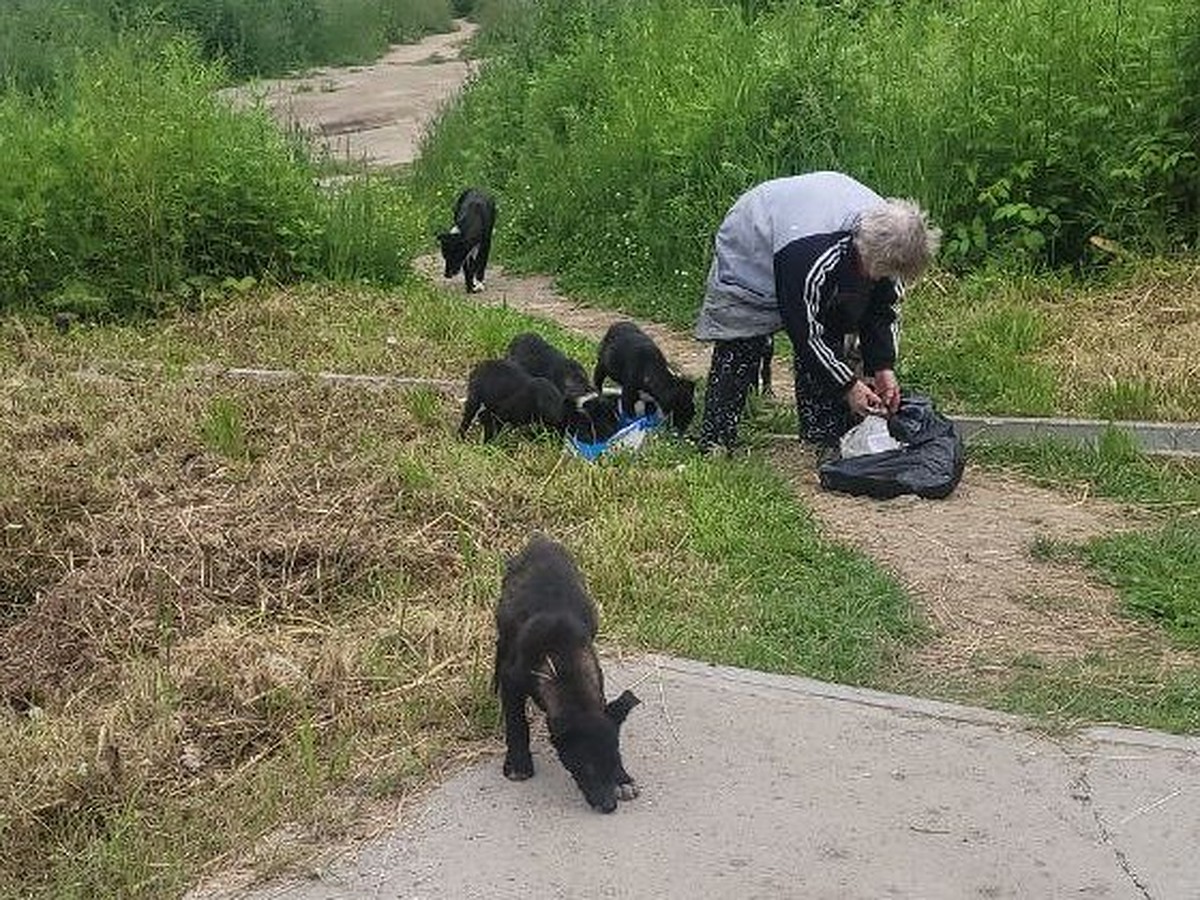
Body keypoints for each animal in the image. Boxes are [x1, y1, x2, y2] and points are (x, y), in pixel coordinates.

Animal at [489, 532, 638, 816]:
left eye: (615, 758)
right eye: (583, 767)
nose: (608, 807)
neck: (562, 658)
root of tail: (539, 540)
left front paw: (622, 779)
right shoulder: (512, 680)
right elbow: (517, 723)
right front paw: (518, 763)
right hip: (503, 624)